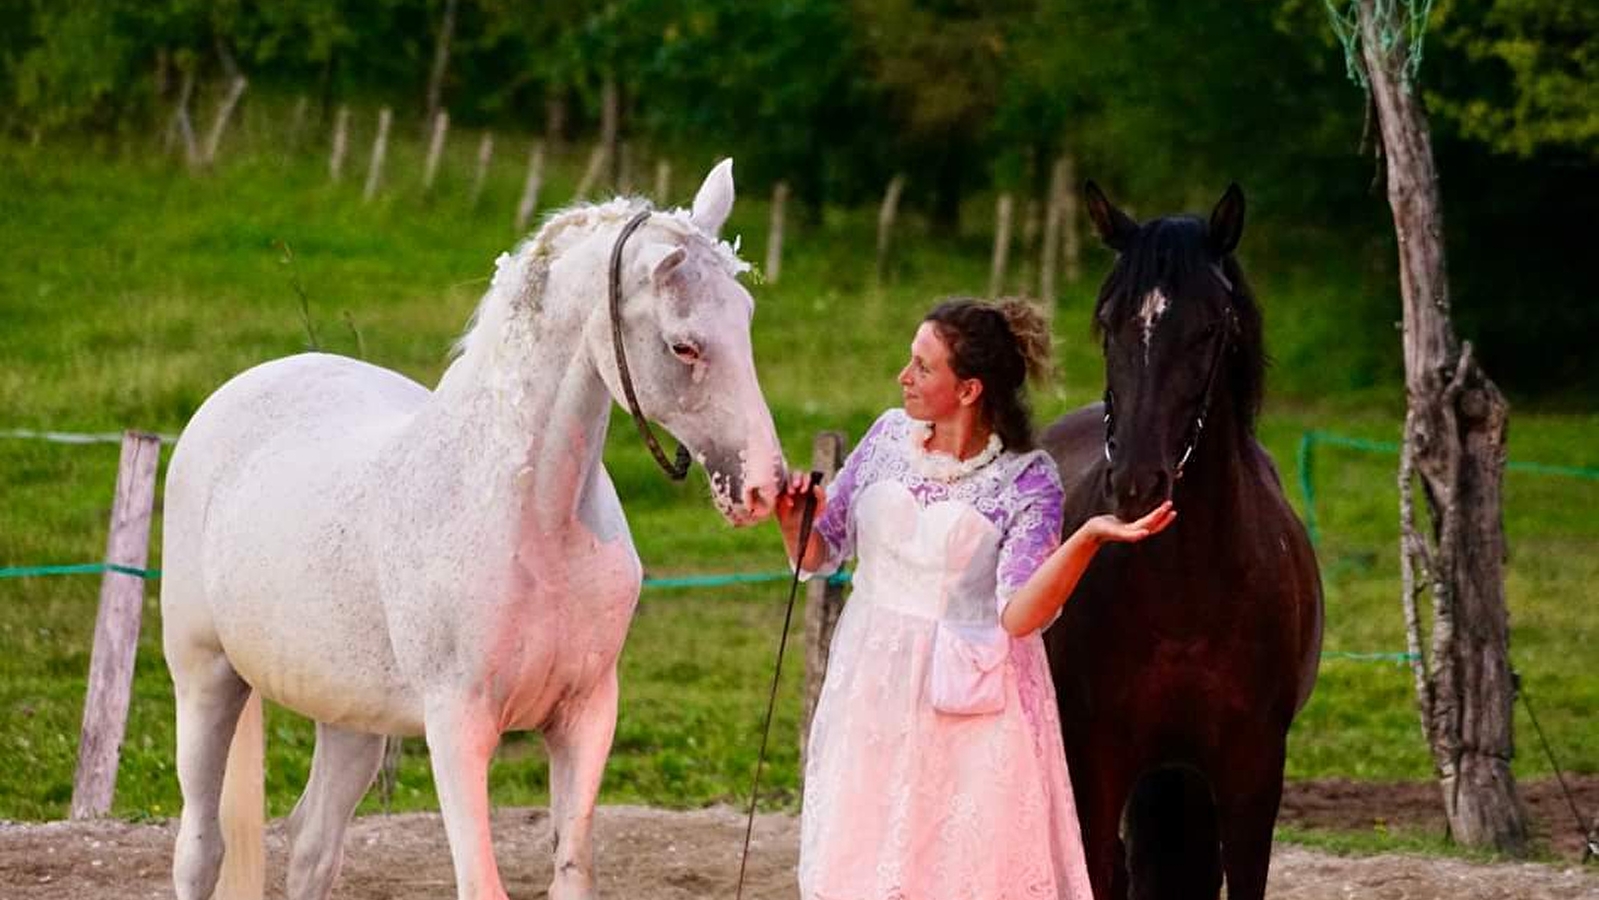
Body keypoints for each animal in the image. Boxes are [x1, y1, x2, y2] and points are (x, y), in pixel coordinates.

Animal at [160, 160, 784, 900]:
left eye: (747, 319)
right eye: (682, 344)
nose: (764, 486)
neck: (531, 519)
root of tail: (241, 389)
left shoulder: (586, 717)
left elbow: (572, 872)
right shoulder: (458, 728)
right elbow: (480, 882)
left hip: (349, 717)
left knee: (313, 845)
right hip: (206, 678)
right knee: (200, 846)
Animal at [1040, 182, 1323, 899]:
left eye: (1209, 329)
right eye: (1107, 321)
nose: (1138, 482)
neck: (1186, 597)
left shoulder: (1252, 775)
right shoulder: (1095, 765)